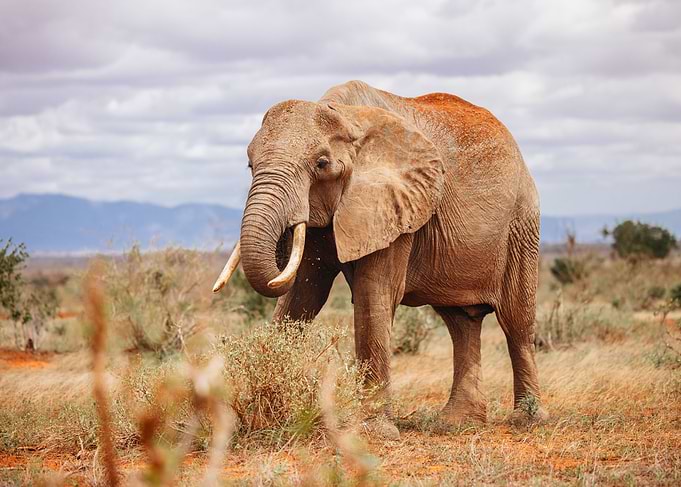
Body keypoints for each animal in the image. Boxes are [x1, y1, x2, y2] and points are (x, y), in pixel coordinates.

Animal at [213, 80, 547, 439]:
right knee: (461, 323)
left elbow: (374, 294)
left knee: (515, 322)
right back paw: (458, 422)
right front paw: (262, 413)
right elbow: (302, 294)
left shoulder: (398, 207)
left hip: (522, 224)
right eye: (250, 165)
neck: (345, 115)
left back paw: (527, 419)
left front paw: (374, 433)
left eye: (321, 164)